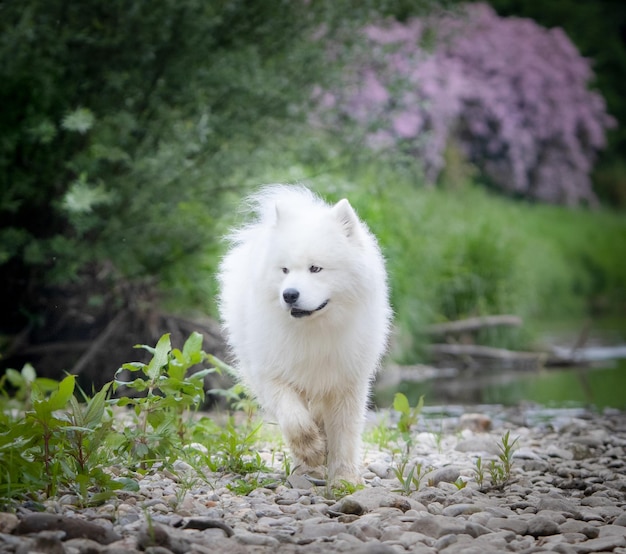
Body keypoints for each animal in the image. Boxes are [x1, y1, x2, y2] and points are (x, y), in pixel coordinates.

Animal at [216, 184, 390, 478]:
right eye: (285, 270)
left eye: (315, 268)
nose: (289, 294)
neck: (314, 331)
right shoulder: (273, 373)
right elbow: (293, 418)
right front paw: (311, 451)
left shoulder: (347, 381)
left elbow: (345, 433)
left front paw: (343, 478)